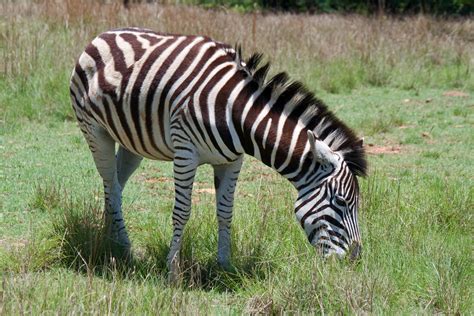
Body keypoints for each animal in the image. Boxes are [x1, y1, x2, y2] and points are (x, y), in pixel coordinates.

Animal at [69, 27, 366, 276]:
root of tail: (104, 34)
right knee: (111, 184)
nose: (355, 260)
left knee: (115, 186)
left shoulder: (232, 162)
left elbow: (225, 211)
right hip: (95, 132)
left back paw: (113, 242)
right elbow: (182, 211)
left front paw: (224, 265)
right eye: (341, 202)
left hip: (132, 141)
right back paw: (126, 249)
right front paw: (173, 270)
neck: (240, 113)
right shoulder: (185, 153)